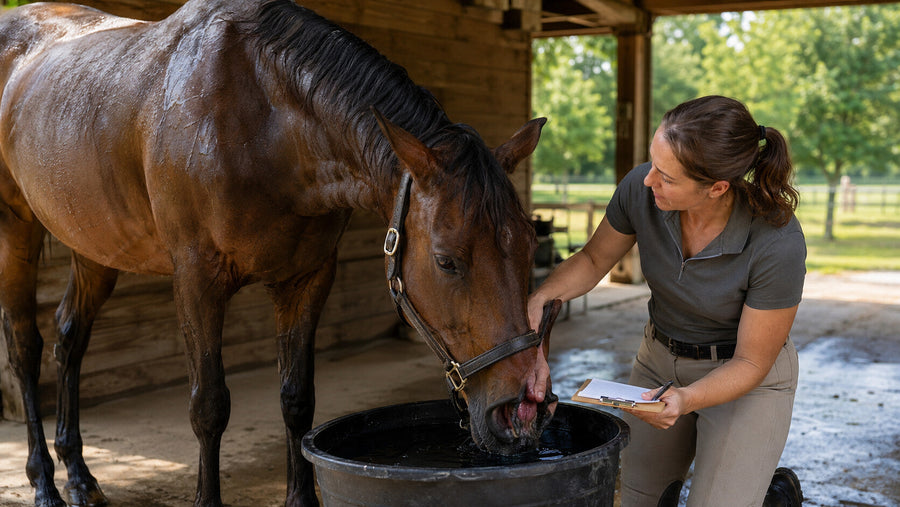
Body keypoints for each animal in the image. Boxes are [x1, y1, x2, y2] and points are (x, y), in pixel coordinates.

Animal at [0, 0, 558, 505]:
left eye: (529, 243)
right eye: (446, 260)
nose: (519, 412)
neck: (262, 123)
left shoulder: (306, 278)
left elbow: (297, 399)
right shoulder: (196, 281)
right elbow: (208, 407)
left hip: (94, 245)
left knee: (69, 339)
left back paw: (78, 475)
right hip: (16, 232)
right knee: (25, 347)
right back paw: (44, 482)